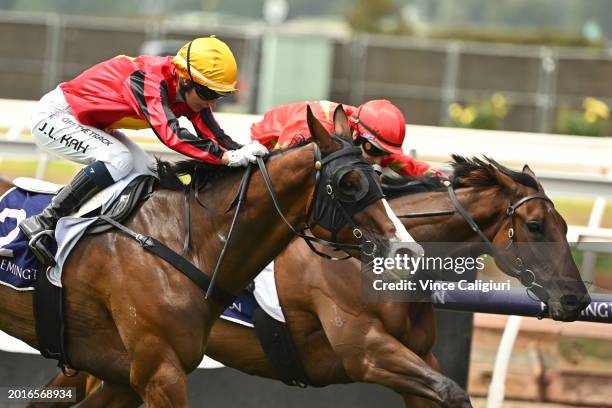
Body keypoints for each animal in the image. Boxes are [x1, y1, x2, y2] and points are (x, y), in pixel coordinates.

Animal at [1, 104, 412, 404]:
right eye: (348, 183)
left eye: (378, 176)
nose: (405, 250)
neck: (189, 242)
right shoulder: (159, 372)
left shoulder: (122, 377)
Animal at [37, 157, 588, 408]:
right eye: (535, 226)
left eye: (565, 227)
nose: (576, 299)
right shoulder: (366, 351)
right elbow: (451, 391)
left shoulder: (420, 356)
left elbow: (442, 390)